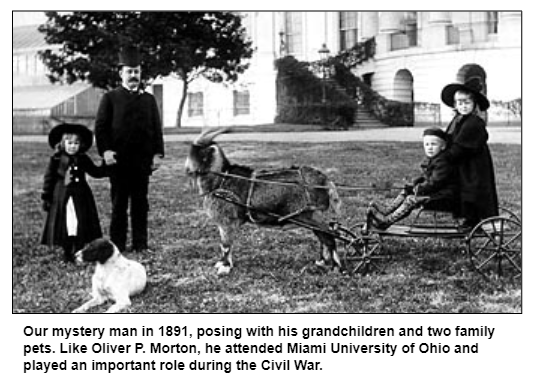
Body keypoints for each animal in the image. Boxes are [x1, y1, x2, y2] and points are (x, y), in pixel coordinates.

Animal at [184, 127, 344, 274]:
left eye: (196, 152)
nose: (187, 170)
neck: (221, 179)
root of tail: (325, 181)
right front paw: (222, 264)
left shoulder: (227, 221)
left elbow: (226, 245)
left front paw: (224, 267)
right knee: (324, 236)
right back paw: (322, 262)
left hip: (311, 215)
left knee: (329, 236)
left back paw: (337, 267)